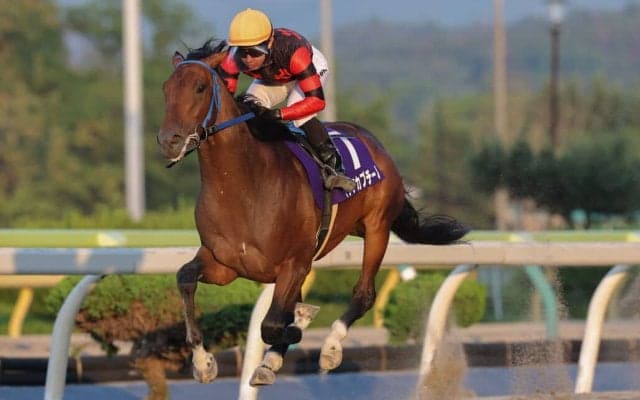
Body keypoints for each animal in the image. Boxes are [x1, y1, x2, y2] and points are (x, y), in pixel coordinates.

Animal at [157, 40, 468, 386]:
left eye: (199, 88)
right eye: (166, 88)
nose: (169, 140)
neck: (244, 186)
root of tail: (375, 143)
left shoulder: (293, 264)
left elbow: (273, 323)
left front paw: (298, 327)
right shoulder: (225, 264)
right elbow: (185, 279)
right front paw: (203, 362)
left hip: (377, 228)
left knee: (364, 294)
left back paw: (330, 348)